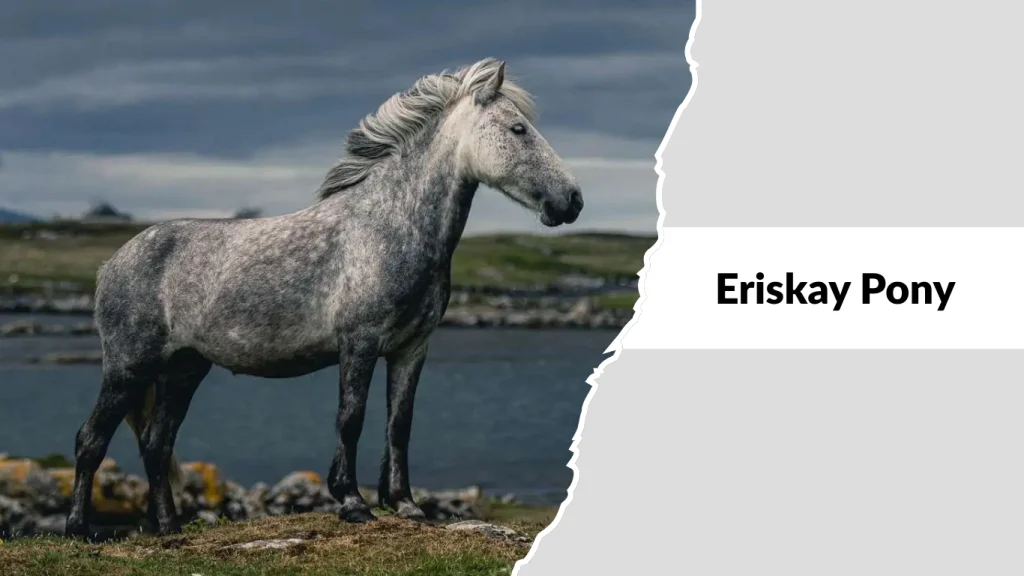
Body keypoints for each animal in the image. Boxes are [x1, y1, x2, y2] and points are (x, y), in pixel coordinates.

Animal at [64, 57, 584, 538]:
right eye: (518, 128)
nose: (572, 201)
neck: (389, 227)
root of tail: (112, 264)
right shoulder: (359, 344)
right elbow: (350, 418)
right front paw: (353, 502)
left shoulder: (412, 349)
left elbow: (400, 423)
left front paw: (406, 505)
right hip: (129, 367)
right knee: (91, 440)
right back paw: (78, 530)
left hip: (184, 369)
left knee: (157, 445)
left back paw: (170, 528)